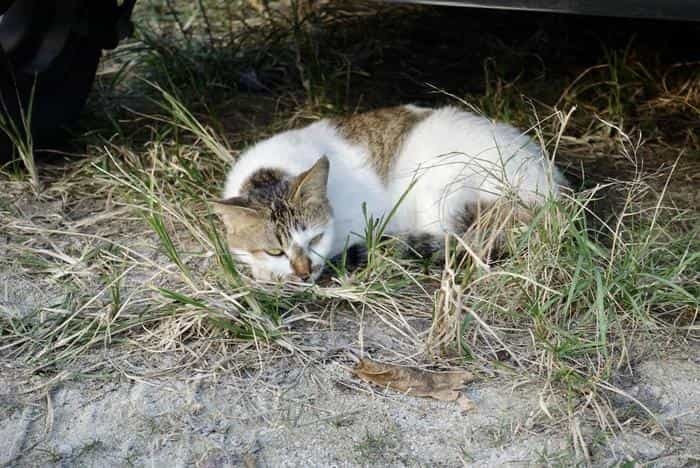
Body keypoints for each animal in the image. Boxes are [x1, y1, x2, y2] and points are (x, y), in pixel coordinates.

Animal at [215, 106, 568, 282]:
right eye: (275, 250)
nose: (304, 272)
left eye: (316, 239)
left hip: (441, 186)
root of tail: (551, 194)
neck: (271, 172)